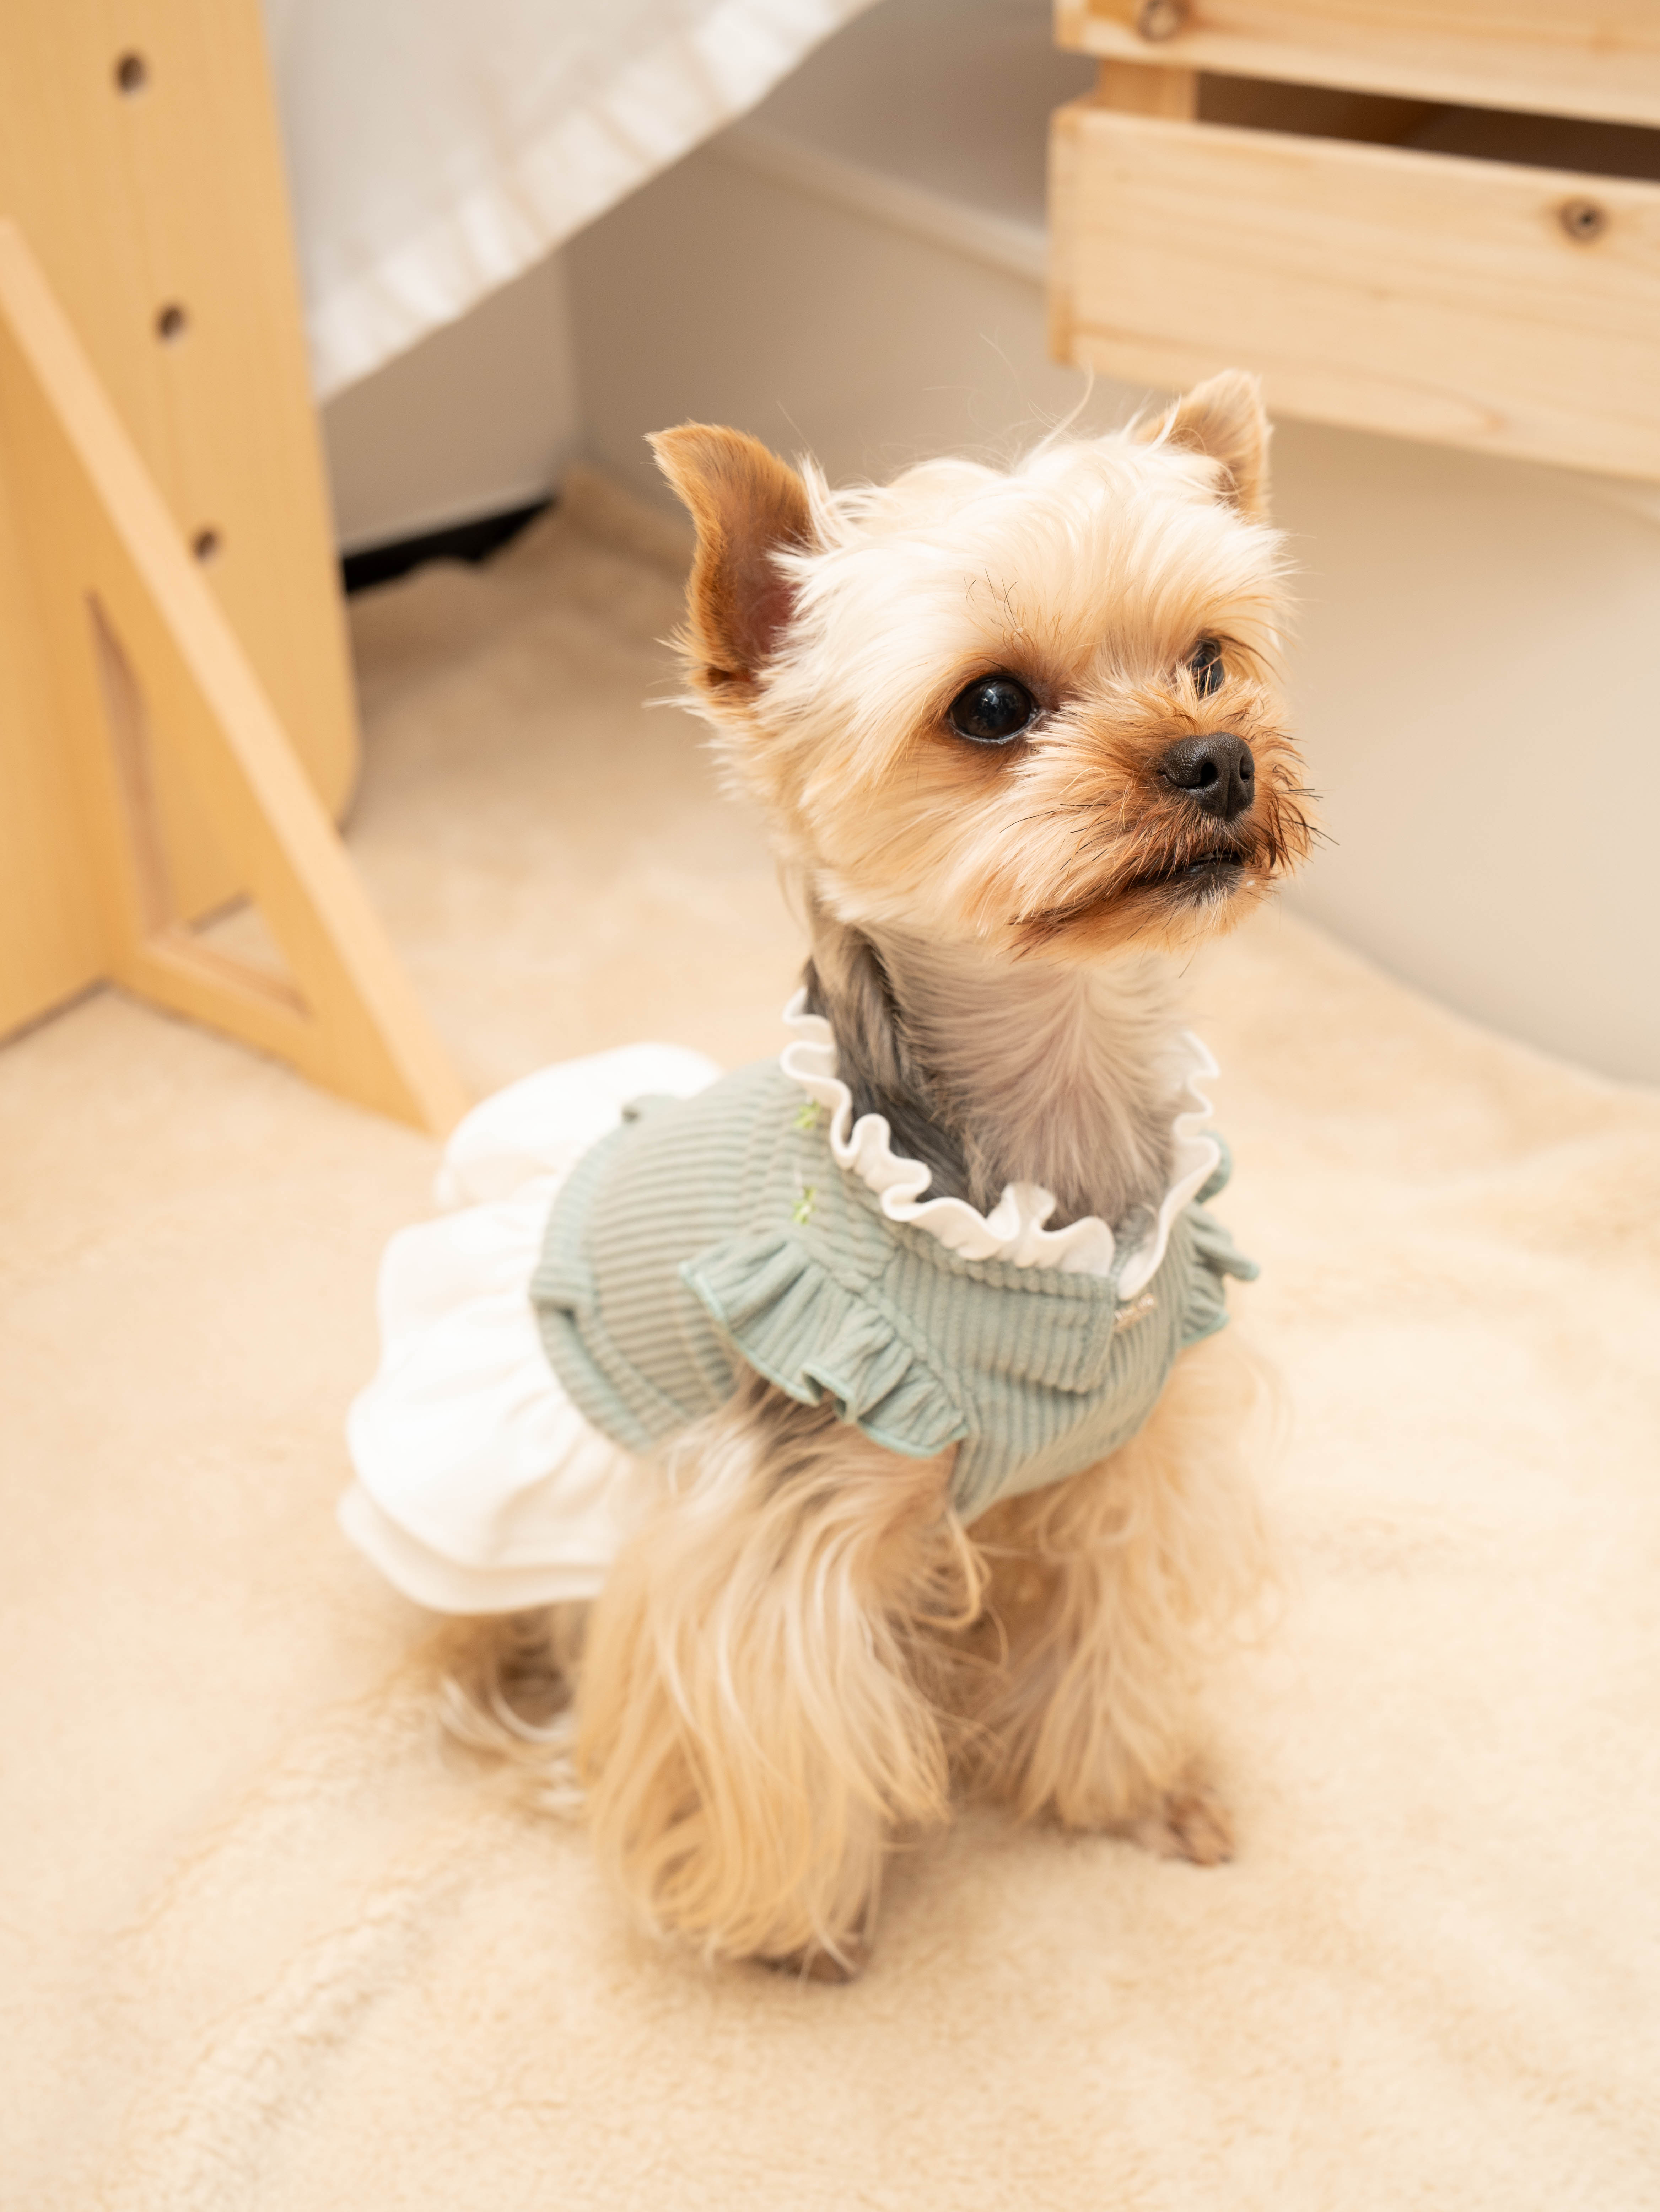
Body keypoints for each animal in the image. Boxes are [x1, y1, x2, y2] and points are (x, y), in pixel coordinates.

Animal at [429, 372, 1312, 1977]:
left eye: (1211, 662)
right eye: (991, 706)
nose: (1220, 758)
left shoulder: (1126, 1464)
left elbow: (1108, 1640)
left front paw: (1133, 1795)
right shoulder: (787, 1523)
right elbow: (774, 1733)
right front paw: (795, 1930)